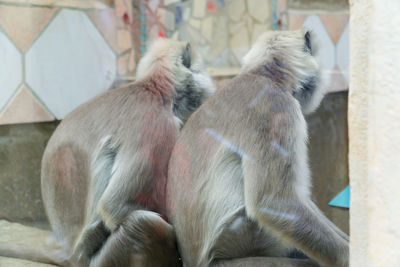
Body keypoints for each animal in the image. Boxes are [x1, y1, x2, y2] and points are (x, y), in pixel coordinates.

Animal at [0, 38, 216, 266]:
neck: (153, 91)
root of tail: (68, 251)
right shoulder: (157, 125)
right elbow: (114, 205)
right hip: (107, 258)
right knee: (149, 223)